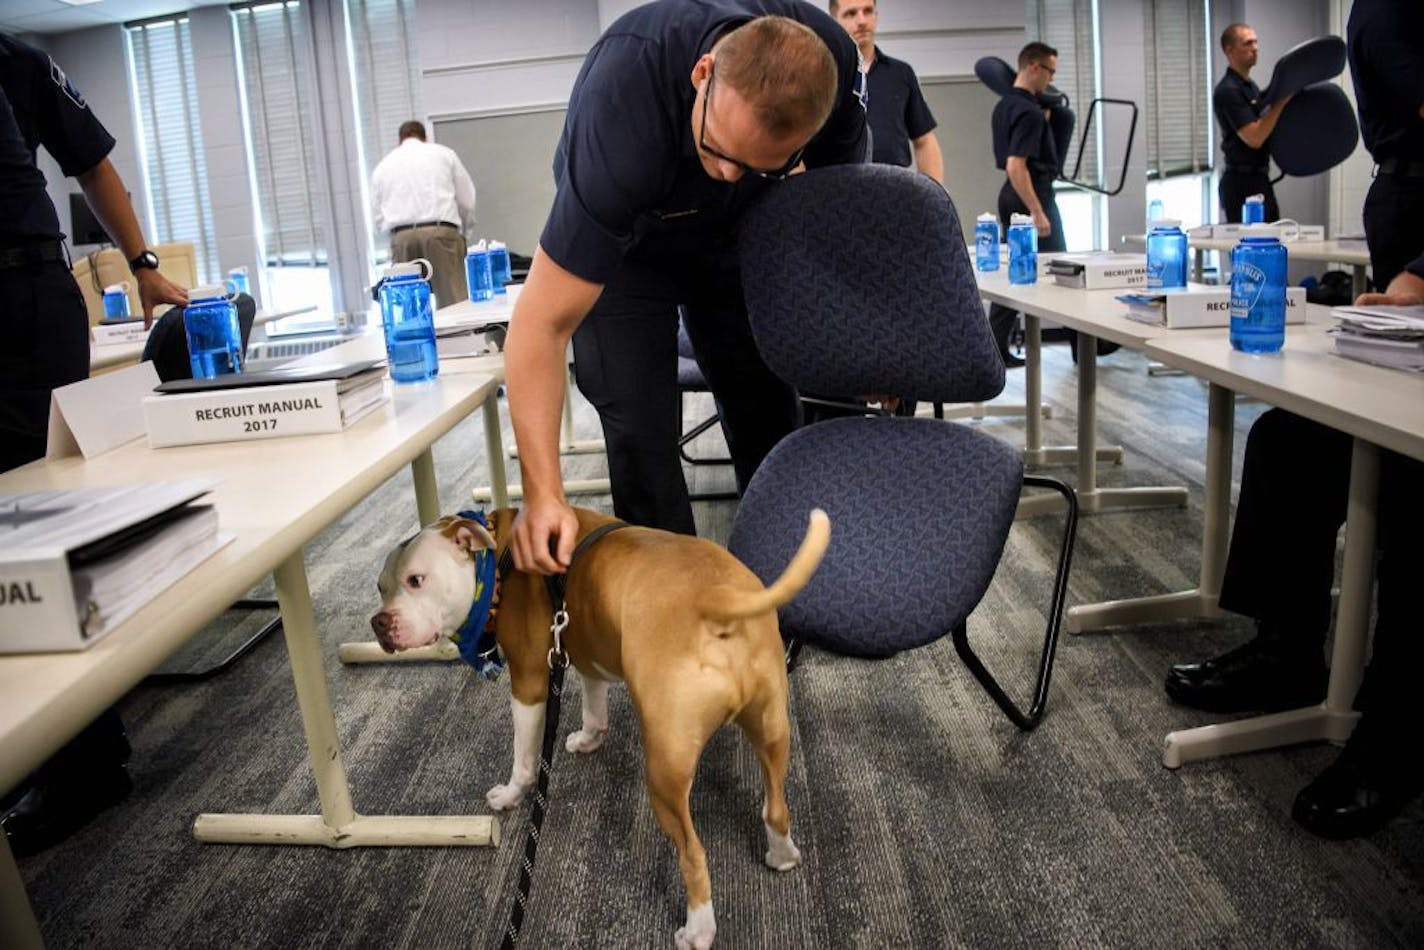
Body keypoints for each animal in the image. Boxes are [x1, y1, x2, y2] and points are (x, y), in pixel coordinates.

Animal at [370, 509, 831, 945]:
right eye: (380, 587)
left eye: (416, 580)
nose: (379, 623)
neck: (498, 558)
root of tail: (718, 599)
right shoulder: (583, 647)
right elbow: (594, 706)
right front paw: (590, 739)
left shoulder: (530, 684)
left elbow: (524, 757)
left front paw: (511, 794)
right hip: (773, 729)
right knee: (775, 807)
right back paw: (782, 856)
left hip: (665, 770)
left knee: (693, 853)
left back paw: (697, 931)